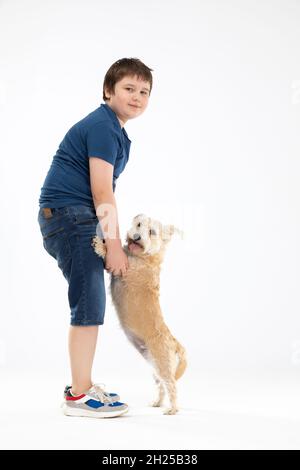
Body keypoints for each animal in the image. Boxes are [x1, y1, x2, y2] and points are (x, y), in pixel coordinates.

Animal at [91, 213, 186, 414]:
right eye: (139, 224)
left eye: (152, 232)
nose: (136, 237)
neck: (145, 257)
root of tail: (174, 343)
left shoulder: (124, 269)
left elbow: (111, 257)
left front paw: (101, 245)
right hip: (155, 367)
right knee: (161, 385)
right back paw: (157, 402)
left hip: (163, 364)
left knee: (171, 385)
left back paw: (172, 410)